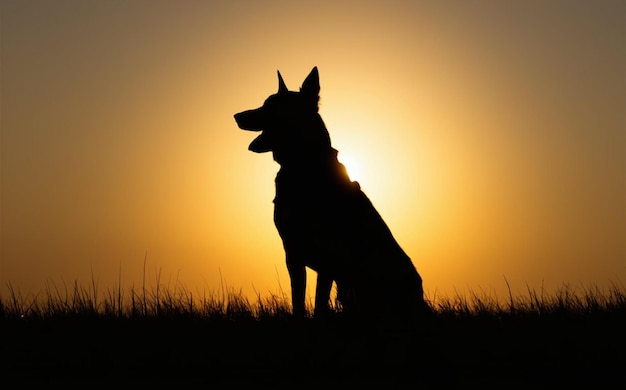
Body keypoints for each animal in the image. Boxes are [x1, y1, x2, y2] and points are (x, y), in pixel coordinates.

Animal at [234, 67, 428, 322]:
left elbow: (319, 303)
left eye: (271, 106)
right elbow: (298, 299)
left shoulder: (328, 257)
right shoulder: (292, 252)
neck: (304, 165)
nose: (236, 116)